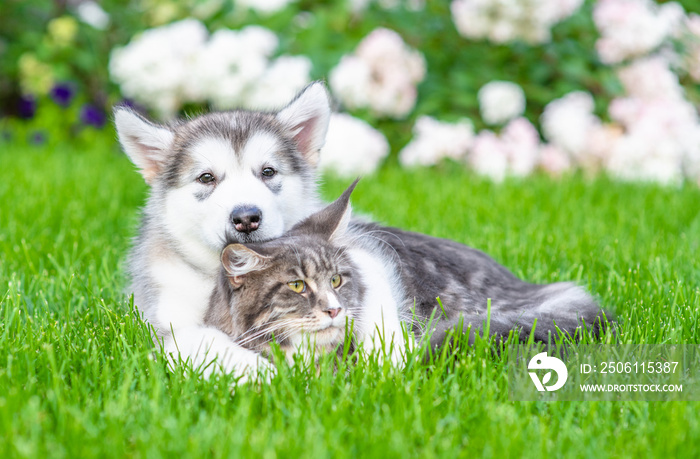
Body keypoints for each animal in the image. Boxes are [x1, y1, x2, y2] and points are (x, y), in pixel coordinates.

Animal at [115, 83, 334, 380]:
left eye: (268, 172)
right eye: (206, 177)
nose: (246, 218)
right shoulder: (166, 317)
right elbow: (203, 337)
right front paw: (261, 371)